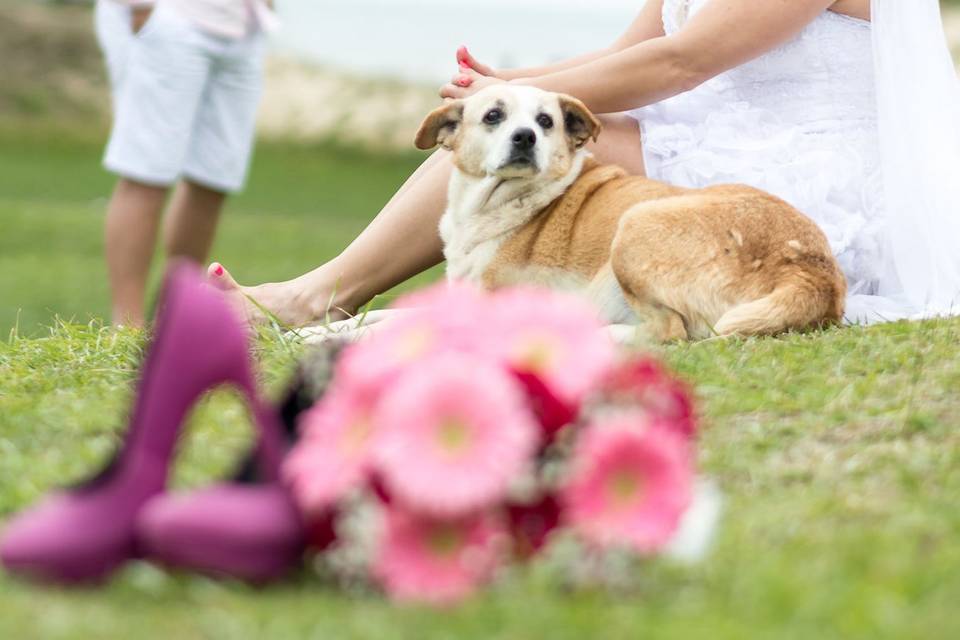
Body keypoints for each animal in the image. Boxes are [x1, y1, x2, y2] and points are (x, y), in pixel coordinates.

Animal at [416, 89, 844, 344]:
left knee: (667, 332)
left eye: (545, 121)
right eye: (493, 116)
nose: (525, 137)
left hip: (634, 224)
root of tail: (812, 273)